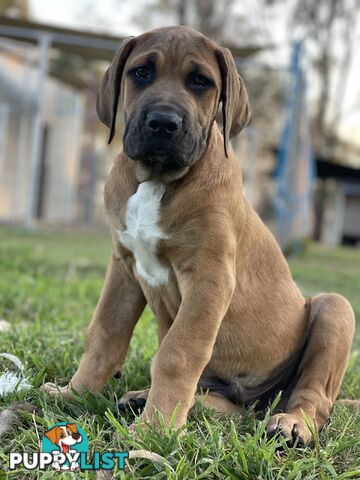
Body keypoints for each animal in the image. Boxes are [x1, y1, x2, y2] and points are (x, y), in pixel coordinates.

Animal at [43, 27, 356, 446]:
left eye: (200, 82)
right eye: (141, 72)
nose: (163, 122)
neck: (157, 179)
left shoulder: (209, 278)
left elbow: (177, 353)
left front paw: (156, 428)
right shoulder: (124, 267)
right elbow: (104, 334)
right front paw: (74, 394)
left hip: (335, 309)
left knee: (313, 397)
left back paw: (292, 423)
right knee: (230, 409)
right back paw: (148, 398)